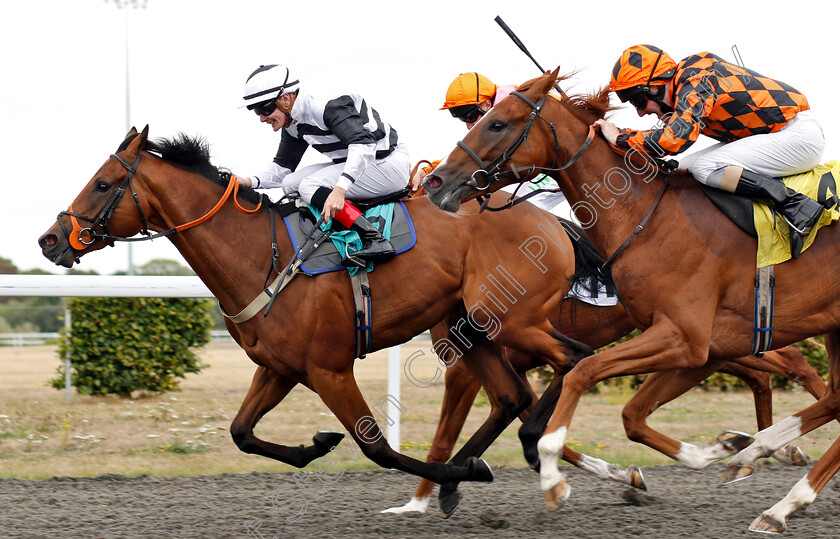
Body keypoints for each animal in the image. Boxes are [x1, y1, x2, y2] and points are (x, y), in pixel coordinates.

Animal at [37, 125, 596, 494]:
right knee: (511, 393)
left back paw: (530, 445)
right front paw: (319, 443)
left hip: (512, 318)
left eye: (103, 184)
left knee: (573, 358)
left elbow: (376, 448)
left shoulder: (330, 369)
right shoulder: (279, 368)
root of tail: (549, 219)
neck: (260, 256)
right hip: (470, 325)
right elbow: (242, 433)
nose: (50, 240)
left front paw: (456, 473)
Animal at [424, 69, 840, 532]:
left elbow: (575, 376)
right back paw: (772, 480)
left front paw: (550, 477)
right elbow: (623, 414)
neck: (646, 217)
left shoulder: (682, 338)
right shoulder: (701, 347)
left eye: (497, 123)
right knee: (825, 393)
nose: (437, 182)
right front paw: (719, 450)